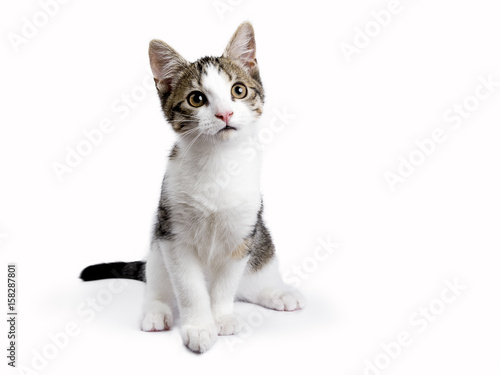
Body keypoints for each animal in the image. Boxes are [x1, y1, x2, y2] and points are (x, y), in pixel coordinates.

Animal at [81, 22, 304, 354]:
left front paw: (221, 317)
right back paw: (156, 311)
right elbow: (189, 287)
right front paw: (199, 326)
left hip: (261, 244)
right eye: (196, 99)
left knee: (247, 286)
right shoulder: (173, 235)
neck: (218, 164)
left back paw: (276, 293)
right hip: (156, 248)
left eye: (239, 90)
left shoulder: (242, 236)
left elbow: (226, 284)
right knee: (157, 283)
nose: (225, 114)